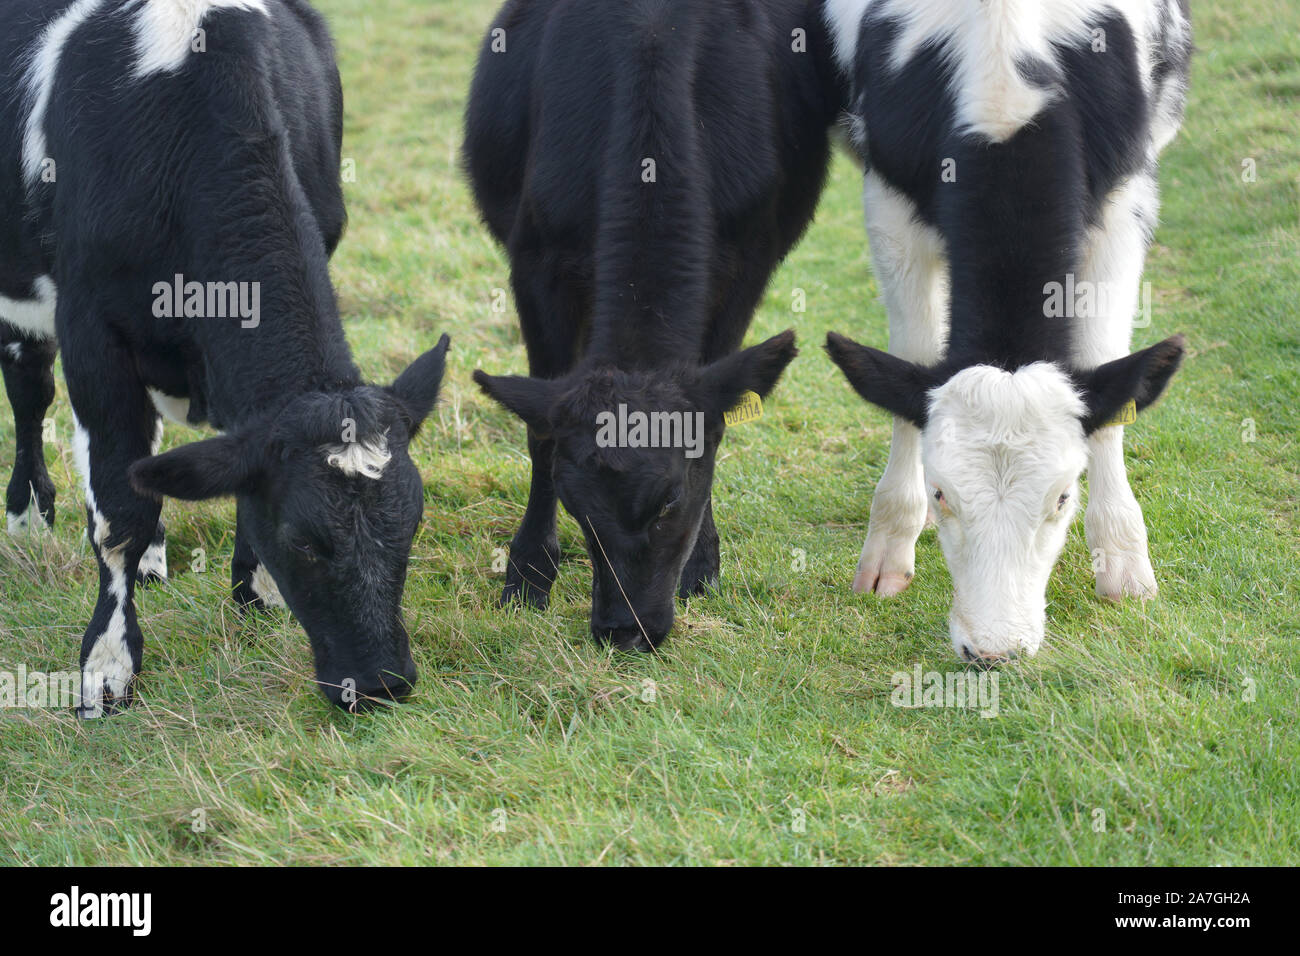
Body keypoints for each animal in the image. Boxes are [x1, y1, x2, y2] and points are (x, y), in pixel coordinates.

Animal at [0, 0, 449, 715]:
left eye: (413, 522)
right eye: (303, 539)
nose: (383, 682)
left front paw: (256, 595)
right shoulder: (91, 331)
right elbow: (117, 512)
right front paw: (107, 666)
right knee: (27, 387)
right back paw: (27, 518)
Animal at [464, 0, 844, 651]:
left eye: (669, 503)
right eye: (577, 508)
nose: (623, 631)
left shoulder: (744, 266)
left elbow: (717, 421)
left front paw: (703, 563)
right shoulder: (536, 262)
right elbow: (541, 433)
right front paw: (529, 571)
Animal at [822, 0, 1192, 660]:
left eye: (1064, 496)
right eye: (943, 492)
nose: (994, 650)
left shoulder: (1126, 199)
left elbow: (1104, 366)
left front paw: (1122, 559)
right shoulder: (888, 201)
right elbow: (912, 358)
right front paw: (890, 540)